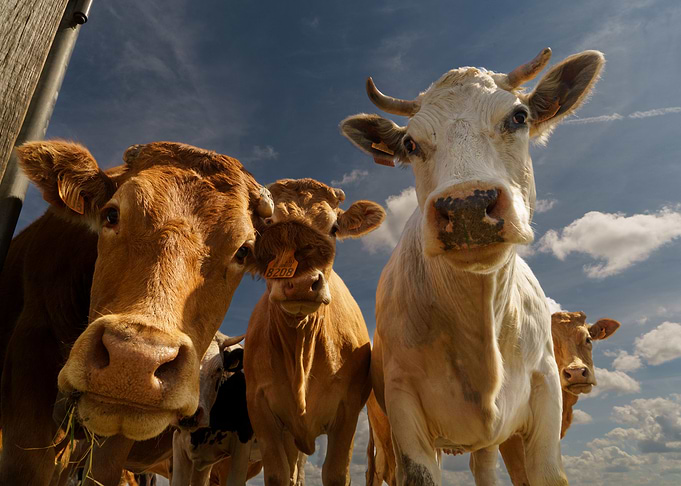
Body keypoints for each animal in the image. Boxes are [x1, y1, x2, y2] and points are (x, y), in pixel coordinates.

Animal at [243, 178, 384, 486]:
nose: (301, 283)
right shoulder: (260, 408)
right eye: (270, 223)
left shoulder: (348, 410)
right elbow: (279, 475)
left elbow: (335, 473)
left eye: (333, 228)